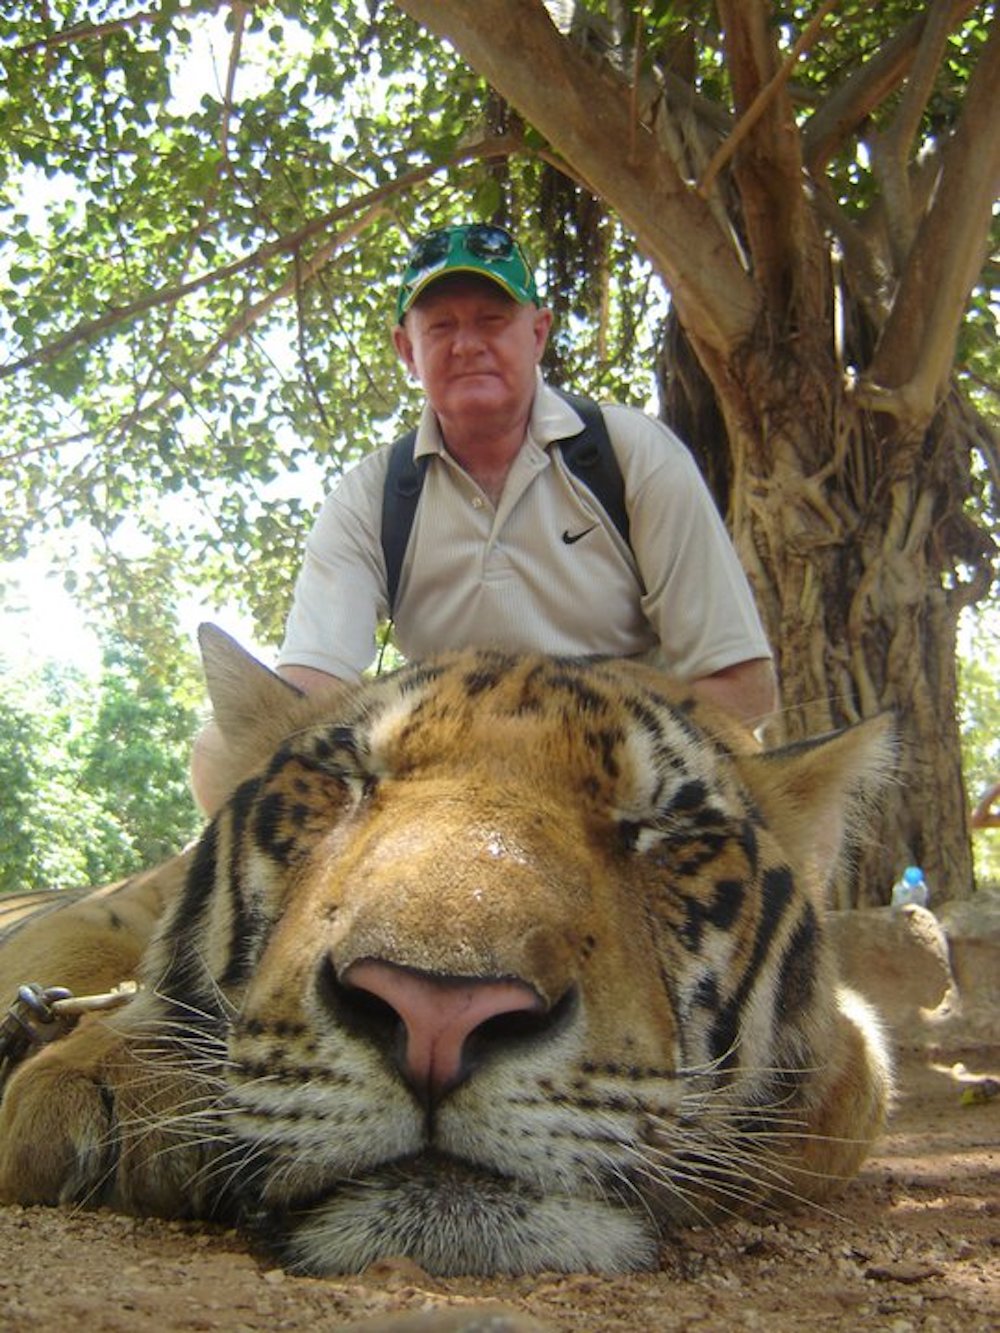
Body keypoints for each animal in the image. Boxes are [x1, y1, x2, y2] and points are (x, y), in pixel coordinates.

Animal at [0, 629, 896, 1274]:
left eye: (664, 828)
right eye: (346, 780)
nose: (438, 1013)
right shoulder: (107, 910)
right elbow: (86, 954)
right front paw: (118, 1081)